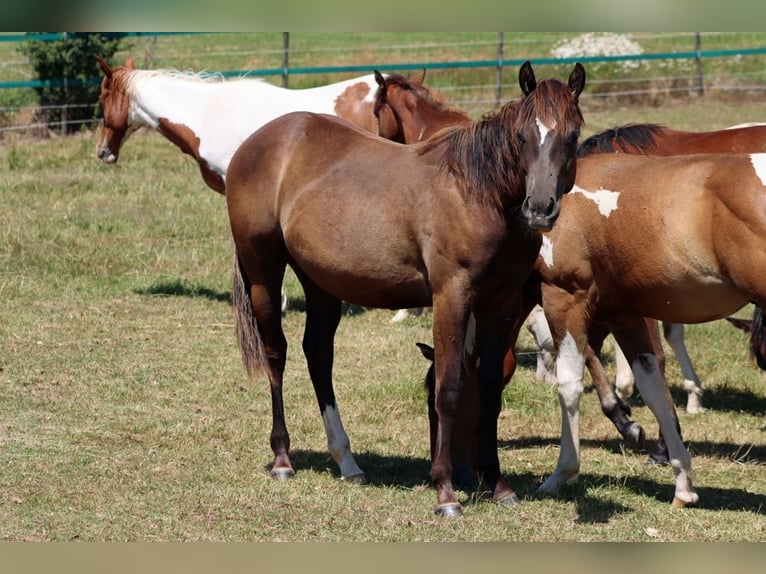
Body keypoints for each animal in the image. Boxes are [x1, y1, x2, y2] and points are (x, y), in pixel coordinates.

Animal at [224, 61, 586, 517]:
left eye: (572, 134)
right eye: (522, 136)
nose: (539, 208)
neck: (478, 192)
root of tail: (257, 143)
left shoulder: (500, 304)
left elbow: (489, 388)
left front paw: (499, 486)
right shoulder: (451, 297)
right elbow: (450, 387)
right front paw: (446, 493)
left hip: (320, 282)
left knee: (318, 357)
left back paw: (347, 462)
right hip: (263, 275)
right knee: (276, 354)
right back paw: (282, 459)